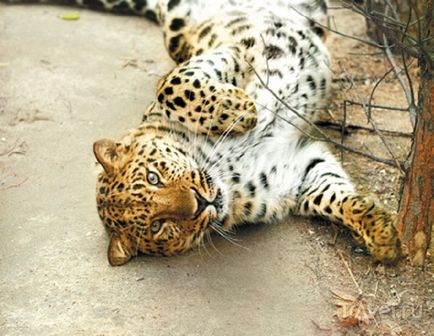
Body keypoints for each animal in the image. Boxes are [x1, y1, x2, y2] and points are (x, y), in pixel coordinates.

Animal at [6, 0, 402, 266]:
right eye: (158, 226)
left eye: (154, 176)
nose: (200, 201)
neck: (228, 173)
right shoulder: (296, 171)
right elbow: (331, 196)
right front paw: (380, 231)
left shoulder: (227, 52)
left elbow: (172, 83)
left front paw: (241, 109)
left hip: (181, 20)